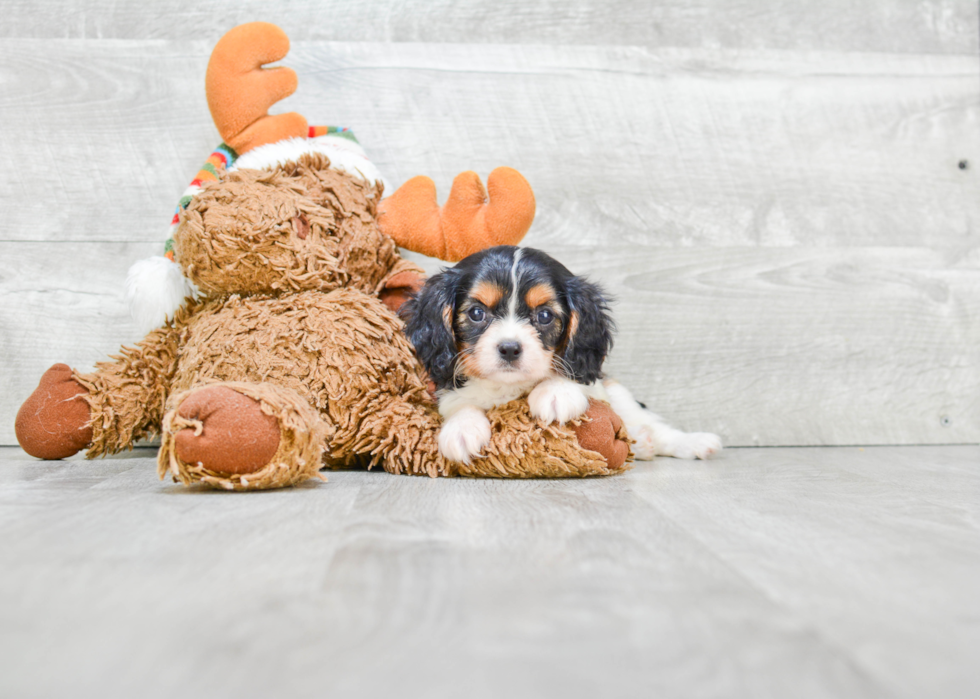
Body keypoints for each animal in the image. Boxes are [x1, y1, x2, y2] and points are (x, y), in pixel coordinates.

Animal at [402, 246, 724, 464]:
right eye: (477, 313)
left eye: (544, 316)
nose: (509, 348)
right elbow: (459, 403)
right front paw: (462, 430)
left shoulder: (595, 381)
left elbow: (571, 375)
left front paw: (555, 393)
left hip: (620, 394)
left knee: (653, 426)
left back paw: (692, 442)